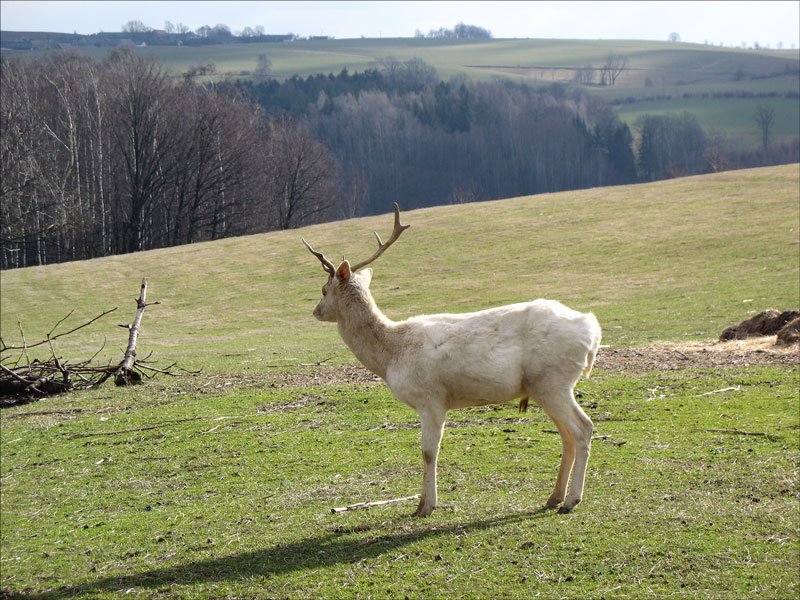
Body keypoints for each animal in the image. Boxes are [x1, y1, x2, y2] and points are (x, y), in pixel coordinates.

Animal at [304, 206, 604, 516]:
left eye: (324, 290)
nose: (315, 311)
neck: (392, 354)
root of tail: (592, 329)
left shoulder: (430, 399)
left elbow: (428, 452)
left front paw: (426, 506)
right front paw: (422, 502)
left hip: (553, 381)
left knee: (583, 428)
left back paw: (571, 500)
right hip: (542, 387)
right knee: (567, 435)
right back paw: (553, 497)